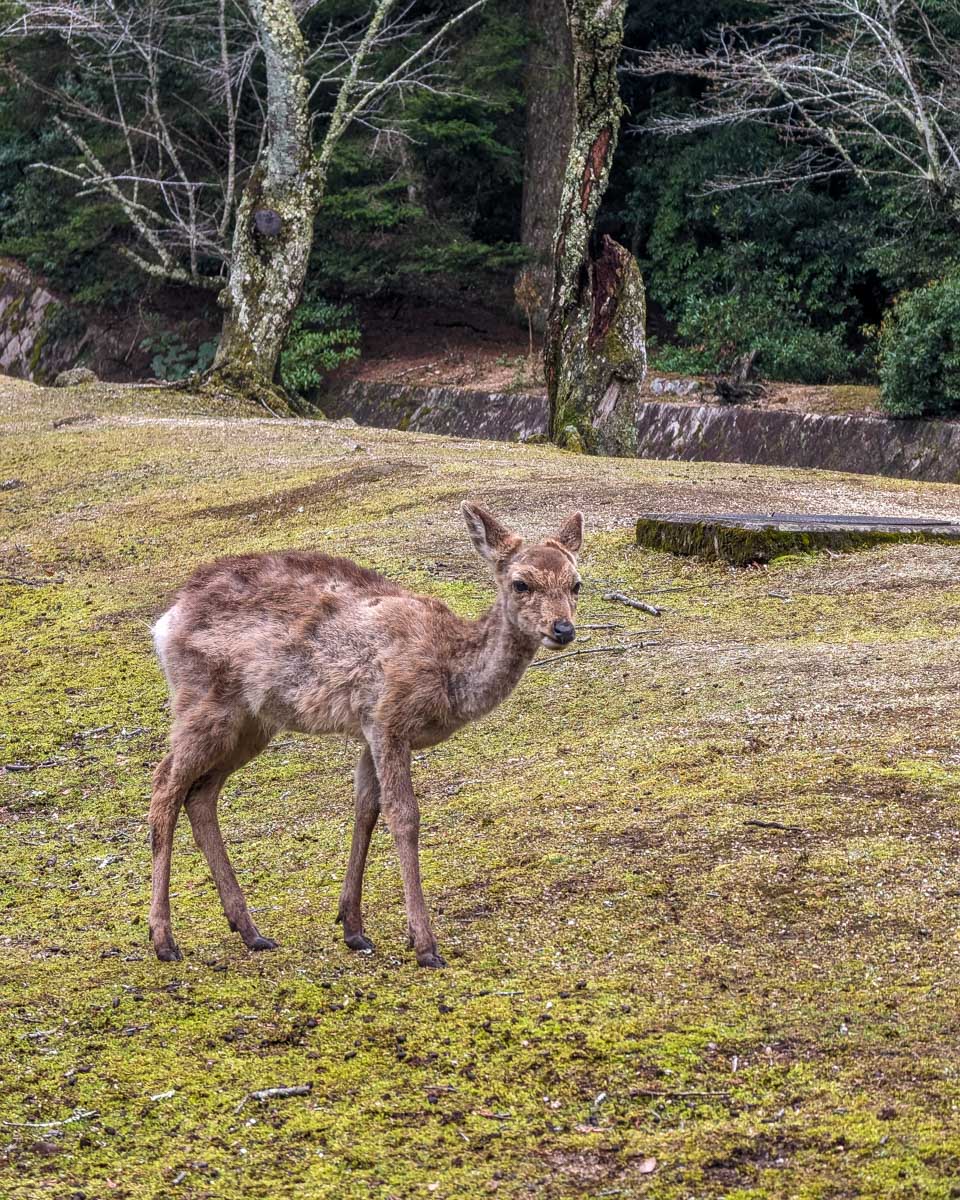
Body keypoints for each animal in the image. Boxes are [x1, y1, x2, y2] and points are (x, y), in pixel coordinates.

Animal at [148, 502, 584, 968]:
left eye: (576, 584)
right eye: (521, 583)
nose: (562, 629)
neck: (450, 672)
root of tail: (165, 622)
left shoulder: (369, 730)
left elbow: (365, 809)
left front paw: (353, 927)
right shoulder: (388, 719)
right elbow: (404, 815)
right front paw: (424, 943)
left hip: (252, 722)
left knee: (200, 796)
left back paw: (250, 930)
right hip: (202, 701)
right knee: (164, 785)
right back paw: (163, 939)